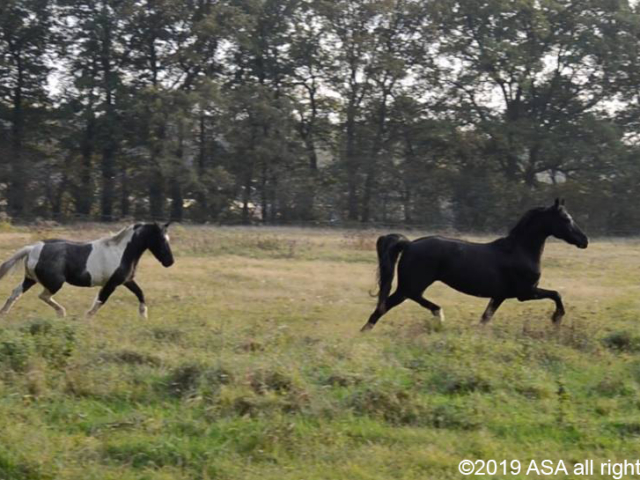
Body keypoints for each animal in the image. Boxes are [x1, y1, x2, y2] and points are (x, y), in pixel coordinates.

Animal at [0, 222, 174, 318]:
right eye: (162, 239)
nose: (170, 262)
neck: (121, 252)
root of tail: (33, 248)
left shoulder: (126, 280)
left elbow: (140, 293)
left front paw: (143, 315)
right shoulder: (112, 283)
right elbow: (101, 300)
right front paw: (87, 318)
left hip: (30, 279)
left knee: (15, 293)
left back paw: (4, 313)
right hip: (55, 283)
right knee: (43, 296)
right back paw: (62, 312)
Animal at [362, 199, 588, 330]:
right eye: (566, 218)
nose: (584, 241)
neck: (518, 251)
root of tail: (408, 244)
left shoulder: (499, 296)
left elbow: (485, 318)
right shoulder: (526, 292)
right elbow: (556, 294)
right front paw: (556, 319)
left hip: (413, 285)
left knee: (405, 300)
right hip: (412, 284)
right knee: (385, 306)